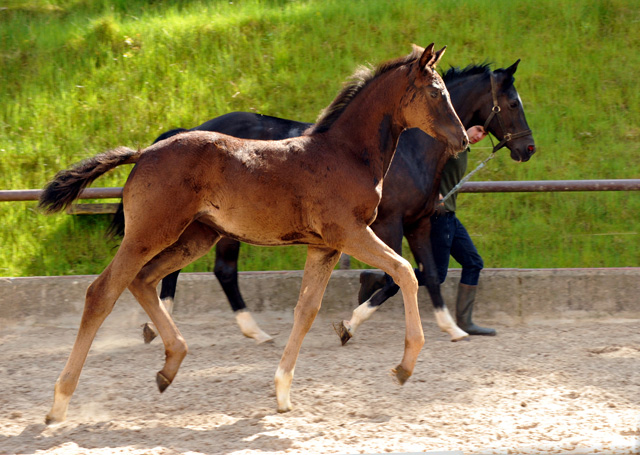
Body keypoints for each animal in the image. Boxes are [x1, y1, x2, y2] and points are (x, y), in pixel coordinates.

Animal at [41, 43, 470, 424]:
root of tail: (144, 152)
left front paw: (282, 390)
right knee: (103, 292)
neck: (347, 154)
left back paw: (170, 365)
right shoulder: (351, 232)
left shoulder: (325, 248)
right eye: (437, 92)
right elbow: (404, 271)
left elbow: (307, 310)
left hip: (196, 237)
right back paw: (60, 402)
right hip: (150, 233)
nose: (464, 139)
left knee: (144, 280)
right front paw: (404, 366)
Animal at [129, 59, 536, 346]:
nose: (528, 148)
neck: (406, 152)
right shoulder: (387, 224)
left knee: (194, 269)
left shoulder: (419, 222)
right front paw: (348, 325)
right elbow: (394, 278)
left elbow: (431, 273)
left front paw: (452, 328)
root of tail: (188, 131)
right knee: (217, 270)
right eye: (513, 102)